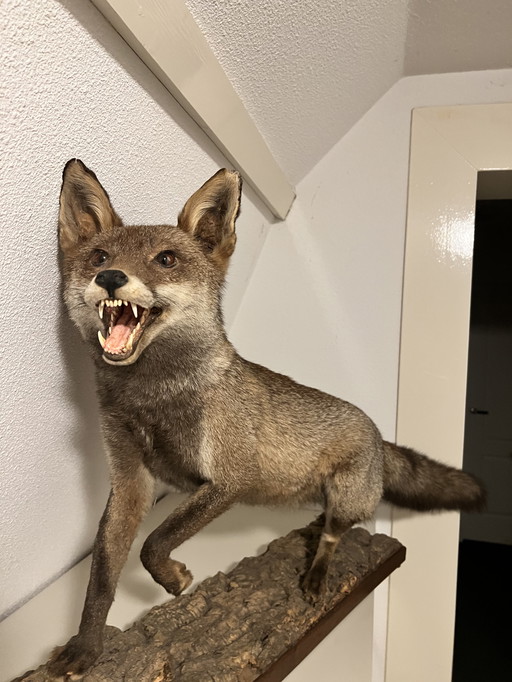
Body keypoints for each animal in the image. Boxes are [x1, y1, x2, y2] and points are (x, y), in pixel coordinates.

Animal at [48, 159, 485, 678]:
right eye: (99, 256)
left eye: (166, 260)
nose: (111, 277)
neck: (152, 401)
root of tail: (379, 434)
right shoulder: (130, 479)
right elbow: (100, 578)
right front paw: (85, 647)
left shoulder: (229, 479)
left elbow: (155, 542)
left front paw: (174, 579)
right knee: (327, 524)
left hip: (346, 495)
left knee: (336, 534)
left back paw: (317, 574)